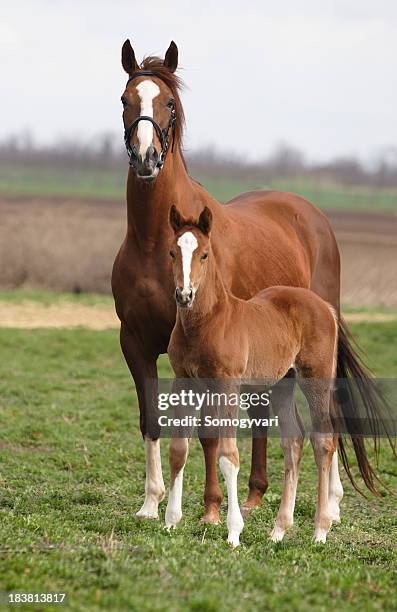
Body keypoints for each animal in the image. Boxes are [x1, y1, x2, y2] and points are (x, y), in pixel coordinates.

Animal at [166, 208, 338, 548]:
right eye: (172, 252)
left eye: (204, 254)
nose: (184, 295)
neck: (207, 322)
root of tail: (324, 305)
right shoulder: (184, 380)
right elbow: (179, 449)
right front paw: (170, 521)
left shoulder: (228, 385)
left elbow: (228, 456)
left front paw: (233, 531)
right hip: (283, 383)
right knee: (293, 440)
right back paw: (279, 530)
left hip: (316, 377)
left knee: (324, 440)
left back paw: (320, 530)